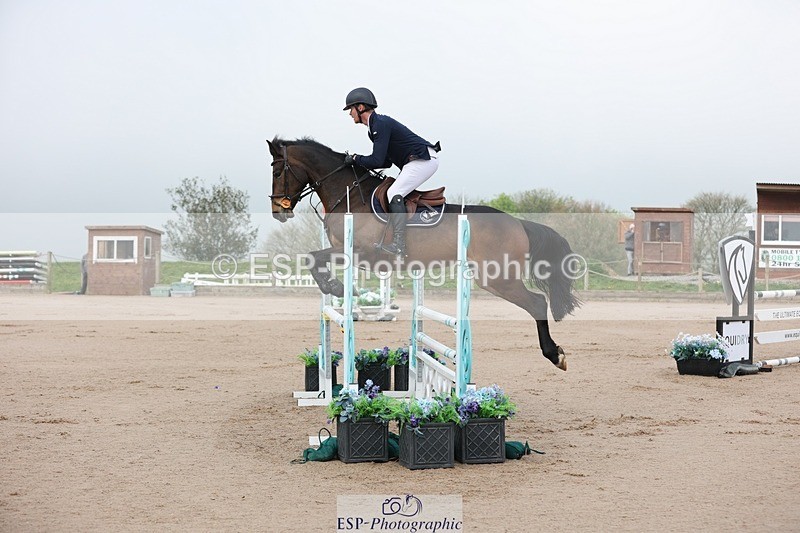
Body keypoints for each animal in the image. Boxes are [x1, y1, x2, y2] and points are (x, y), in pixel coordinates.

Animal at [267, 136, 580, 370]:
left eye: (278, 172)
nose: (278, 211)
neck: (350, 195)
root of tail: (518, 222)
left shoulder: (361, 252)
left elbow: (314, 257)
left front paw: (336, 286)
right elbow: (314, 257)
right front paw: (335, 286)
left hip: (498, 278)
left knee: (537, 303)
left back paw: (555, 355)